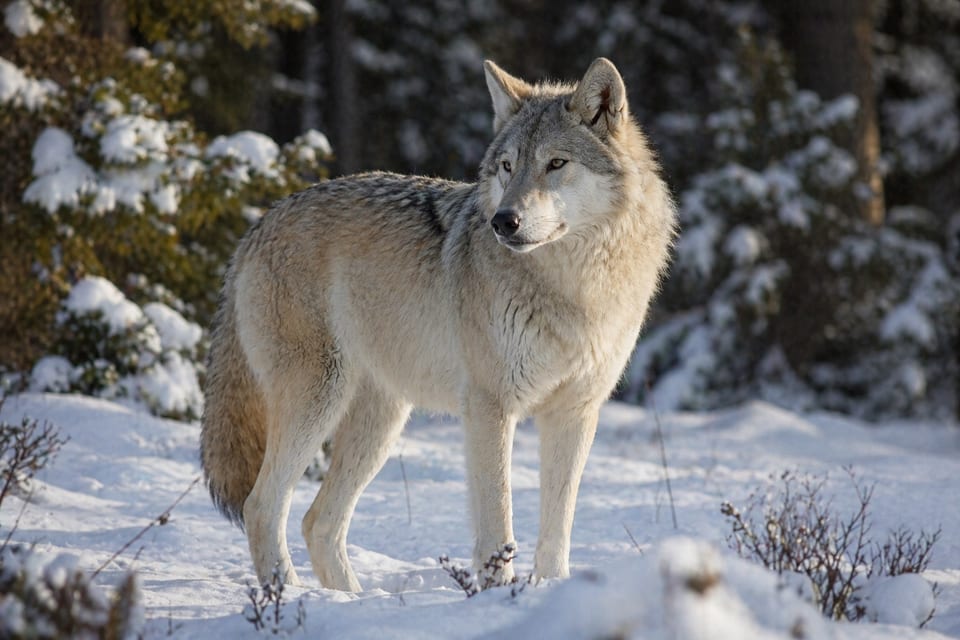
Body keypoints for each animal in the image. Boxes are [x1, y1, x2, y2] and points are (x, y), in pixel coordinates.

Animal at [200, 58, 676, 591]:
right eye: (507, 166)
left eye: (556, 164)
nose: (503, 221)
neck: (575, 286)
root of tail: (258, 226)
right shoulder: (490, 407)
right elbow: (498, 525)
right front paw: (498, 596)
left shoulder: (575, 413)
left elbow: (557, 530)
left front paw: (550, 589)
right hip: (318, 399)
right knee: (263, 507)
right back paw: (288, 598)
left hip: (381, 422)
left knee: (318, 522)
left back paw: (351, 599)